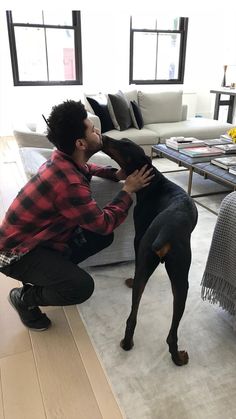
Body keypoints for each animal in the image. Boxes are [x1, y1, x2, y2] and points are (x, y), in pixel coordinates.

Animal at [102, 136, 198, 366]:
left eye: (125, 145)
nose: (104, 137)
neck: (153, 182)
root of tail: (166, 230)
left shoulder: (139, 237)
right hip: (181, 277)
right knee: (171, 333)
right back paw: (178, 358)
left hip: (150, 260)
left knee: (132, 317)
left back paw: (128, 344)